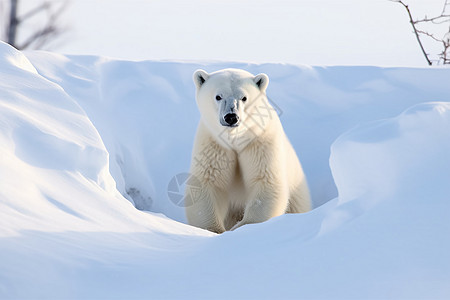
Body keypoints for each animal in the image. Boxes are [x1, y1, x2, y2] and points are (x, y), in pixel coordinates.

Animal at [185, 69, 310, 233]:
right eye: (218, 96)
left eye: (244, 97)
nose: (231, 117)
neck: (235, 139)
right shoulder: (214, 145)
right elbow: (206, 182)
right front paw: (214, 229)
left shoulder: (260, 142)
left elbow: (266, 181)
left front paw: (242, 228)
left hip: (297, 193)